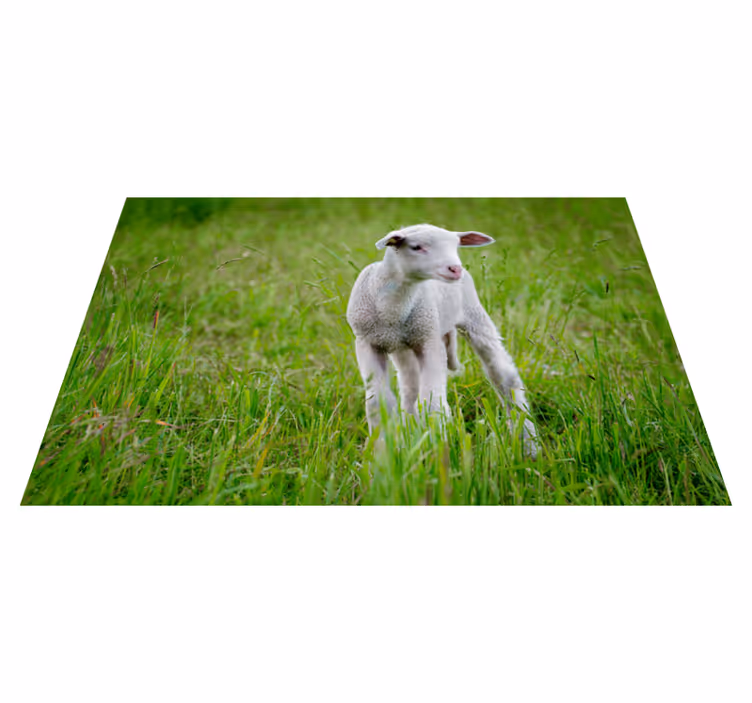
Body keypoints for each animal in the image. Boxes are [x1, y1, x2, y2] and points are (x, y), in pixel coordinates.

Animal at [346, 223, 539, 459]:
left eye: (456, 246)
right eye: (416, 247)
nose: (455, 269)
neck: (392, 311)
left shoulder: (429, 340)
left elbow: (432, 403)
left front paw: (437, 451)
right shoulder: (367, 342)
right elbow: (379, 403)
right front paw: (384, 454)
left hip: (472, 315)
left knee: (505, 376)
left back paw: (529, 445)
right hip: (405, 347)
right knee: (409, 390)